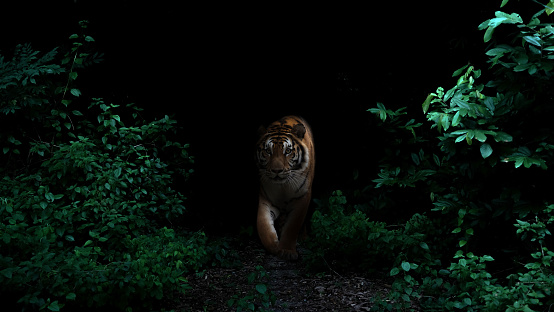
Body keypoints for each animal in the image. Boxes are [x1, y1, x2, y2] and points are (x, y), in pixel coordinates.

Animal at [256, 116, 312, 260]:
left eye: (287, 151)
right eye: (268, 151)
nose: (277, 170)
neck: (283, 187)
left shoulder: (301, 199)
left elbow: (292, 226)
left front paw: (287, 251)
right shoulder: (265, 199)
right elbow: (263, 226)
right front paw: (275, 247)